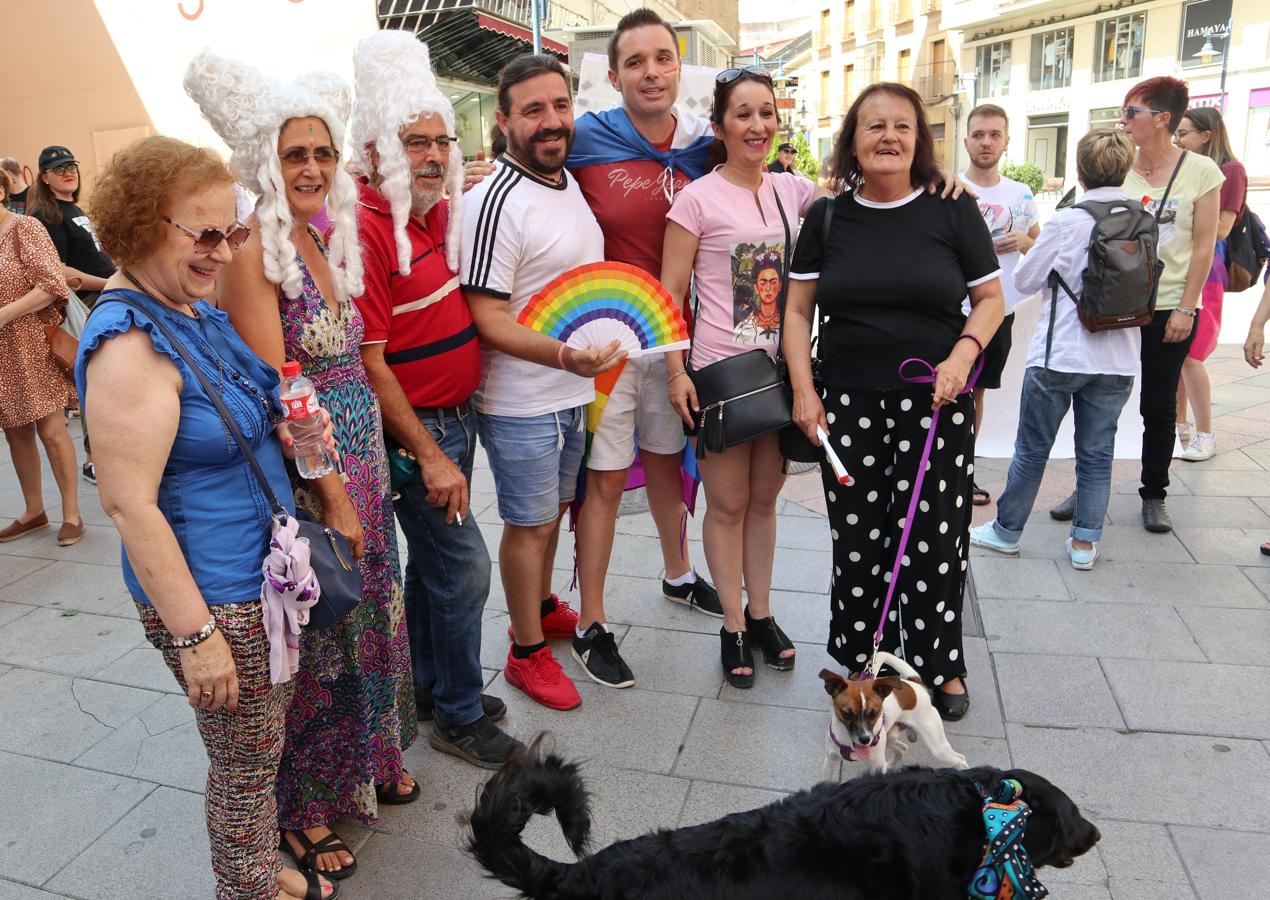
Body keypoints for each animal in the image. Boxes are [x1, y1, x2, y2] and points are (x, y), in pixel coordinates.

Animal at [817, 655, 965, 776]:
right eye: (847, 713)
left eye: (874, 713)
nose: (865, 739)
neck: (850, 744)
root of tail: (916, 685)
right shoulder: (829, 762)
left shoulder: (876, 763)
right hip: (888, 736)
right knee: (902, 748)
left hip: (937, 746)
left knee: (960, 760)